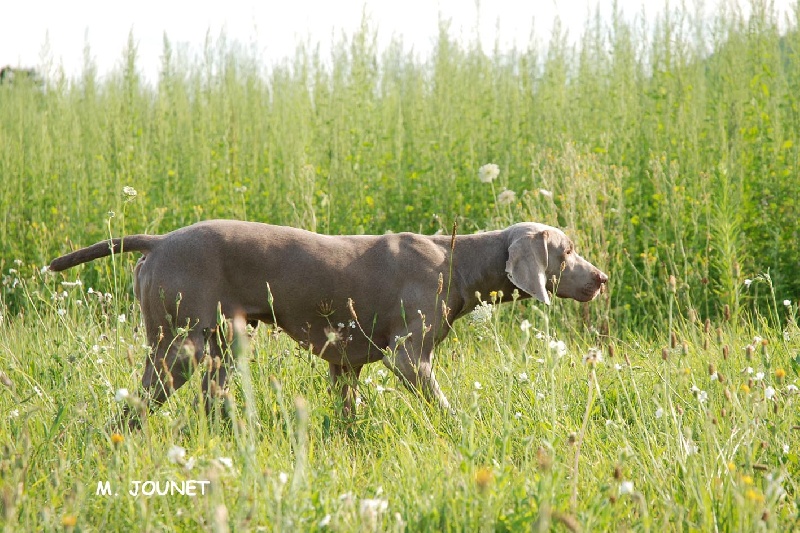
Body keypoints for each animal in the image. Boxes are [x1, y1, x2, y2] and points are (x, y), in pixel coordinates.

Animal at [50, 219, 608, 424]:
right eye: (567, 251)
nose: (601, 278)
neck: (457, 260)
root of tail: (160, 239)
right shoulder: (409, 358)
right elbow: (442, 405)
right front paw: (463, 429)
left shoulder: (346, 364)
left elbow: (347, 409)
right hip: (179, 345)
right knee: (137, 404)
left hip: (221, 344)